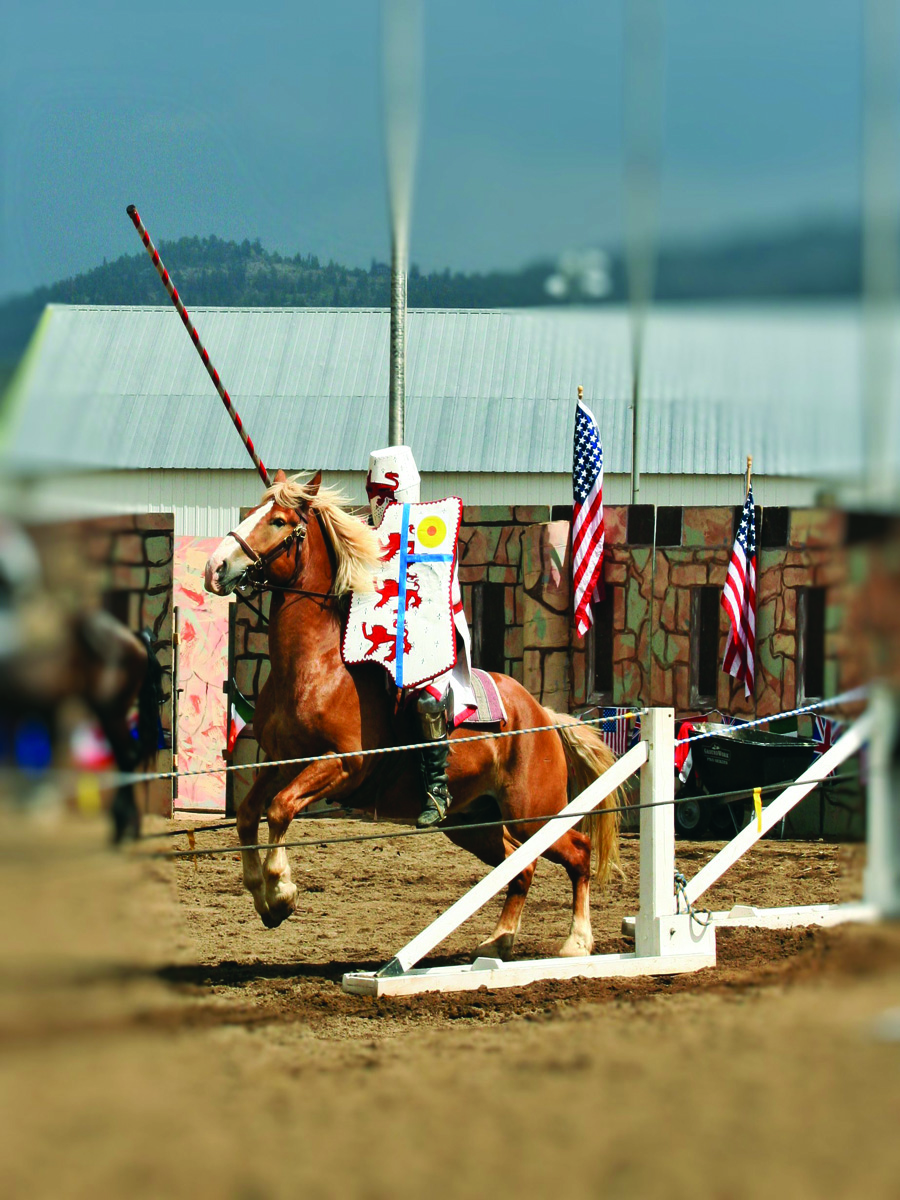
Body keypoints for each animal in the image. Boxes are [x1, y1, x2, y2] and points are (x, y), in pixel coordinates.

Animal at [207, 472, 624, 960]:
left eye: (277, 521)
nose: (214, 567)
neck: (317, 666)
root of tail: (541, 714)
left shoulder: (341, 765)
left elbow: (279, 809)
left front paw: (281, 891)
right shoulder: (281, 763)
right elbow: (249, 814)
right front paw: (262, 894)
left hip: (533, 814)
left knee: (577, 852)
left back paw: (577, 940)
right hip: (473, 823)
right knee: (519, 867)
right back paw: (501, 938)